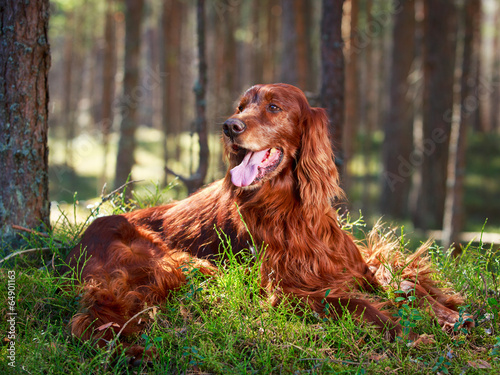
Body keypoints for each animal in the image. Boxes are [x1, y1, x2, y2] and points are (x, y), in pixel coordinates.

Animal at [62, 83, 468, 358]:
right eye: (240, 107)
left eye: (274, 107)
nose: (229, 126)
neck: (292, 210)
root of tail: (83, 239)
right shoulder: (285, 291)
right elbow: (358, 305)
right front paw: (409, 333)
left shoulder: (353, 268)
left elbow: (401, 284)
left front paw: (447, 314)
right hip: (171, 263)